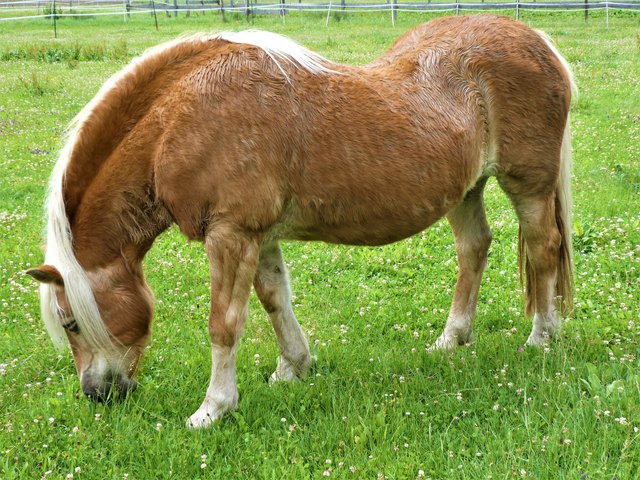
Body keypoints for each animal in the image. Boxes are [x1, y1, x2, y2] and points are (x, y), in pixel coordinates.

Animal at [26, 14, 576, 428]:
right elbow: (275, 300)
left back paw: (541, 337)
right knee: (474, 249)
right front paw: (294, 367)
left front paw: (213, 408)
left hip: (527, 185)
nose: (97, 394)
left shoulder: (230, 236)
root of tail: (538, 40)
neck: (183, 117)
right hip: (466, 190)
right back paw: (451, 339)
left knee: (543, 248)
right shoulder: (258, 237)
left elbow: (224, 324)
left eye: (71, 322)